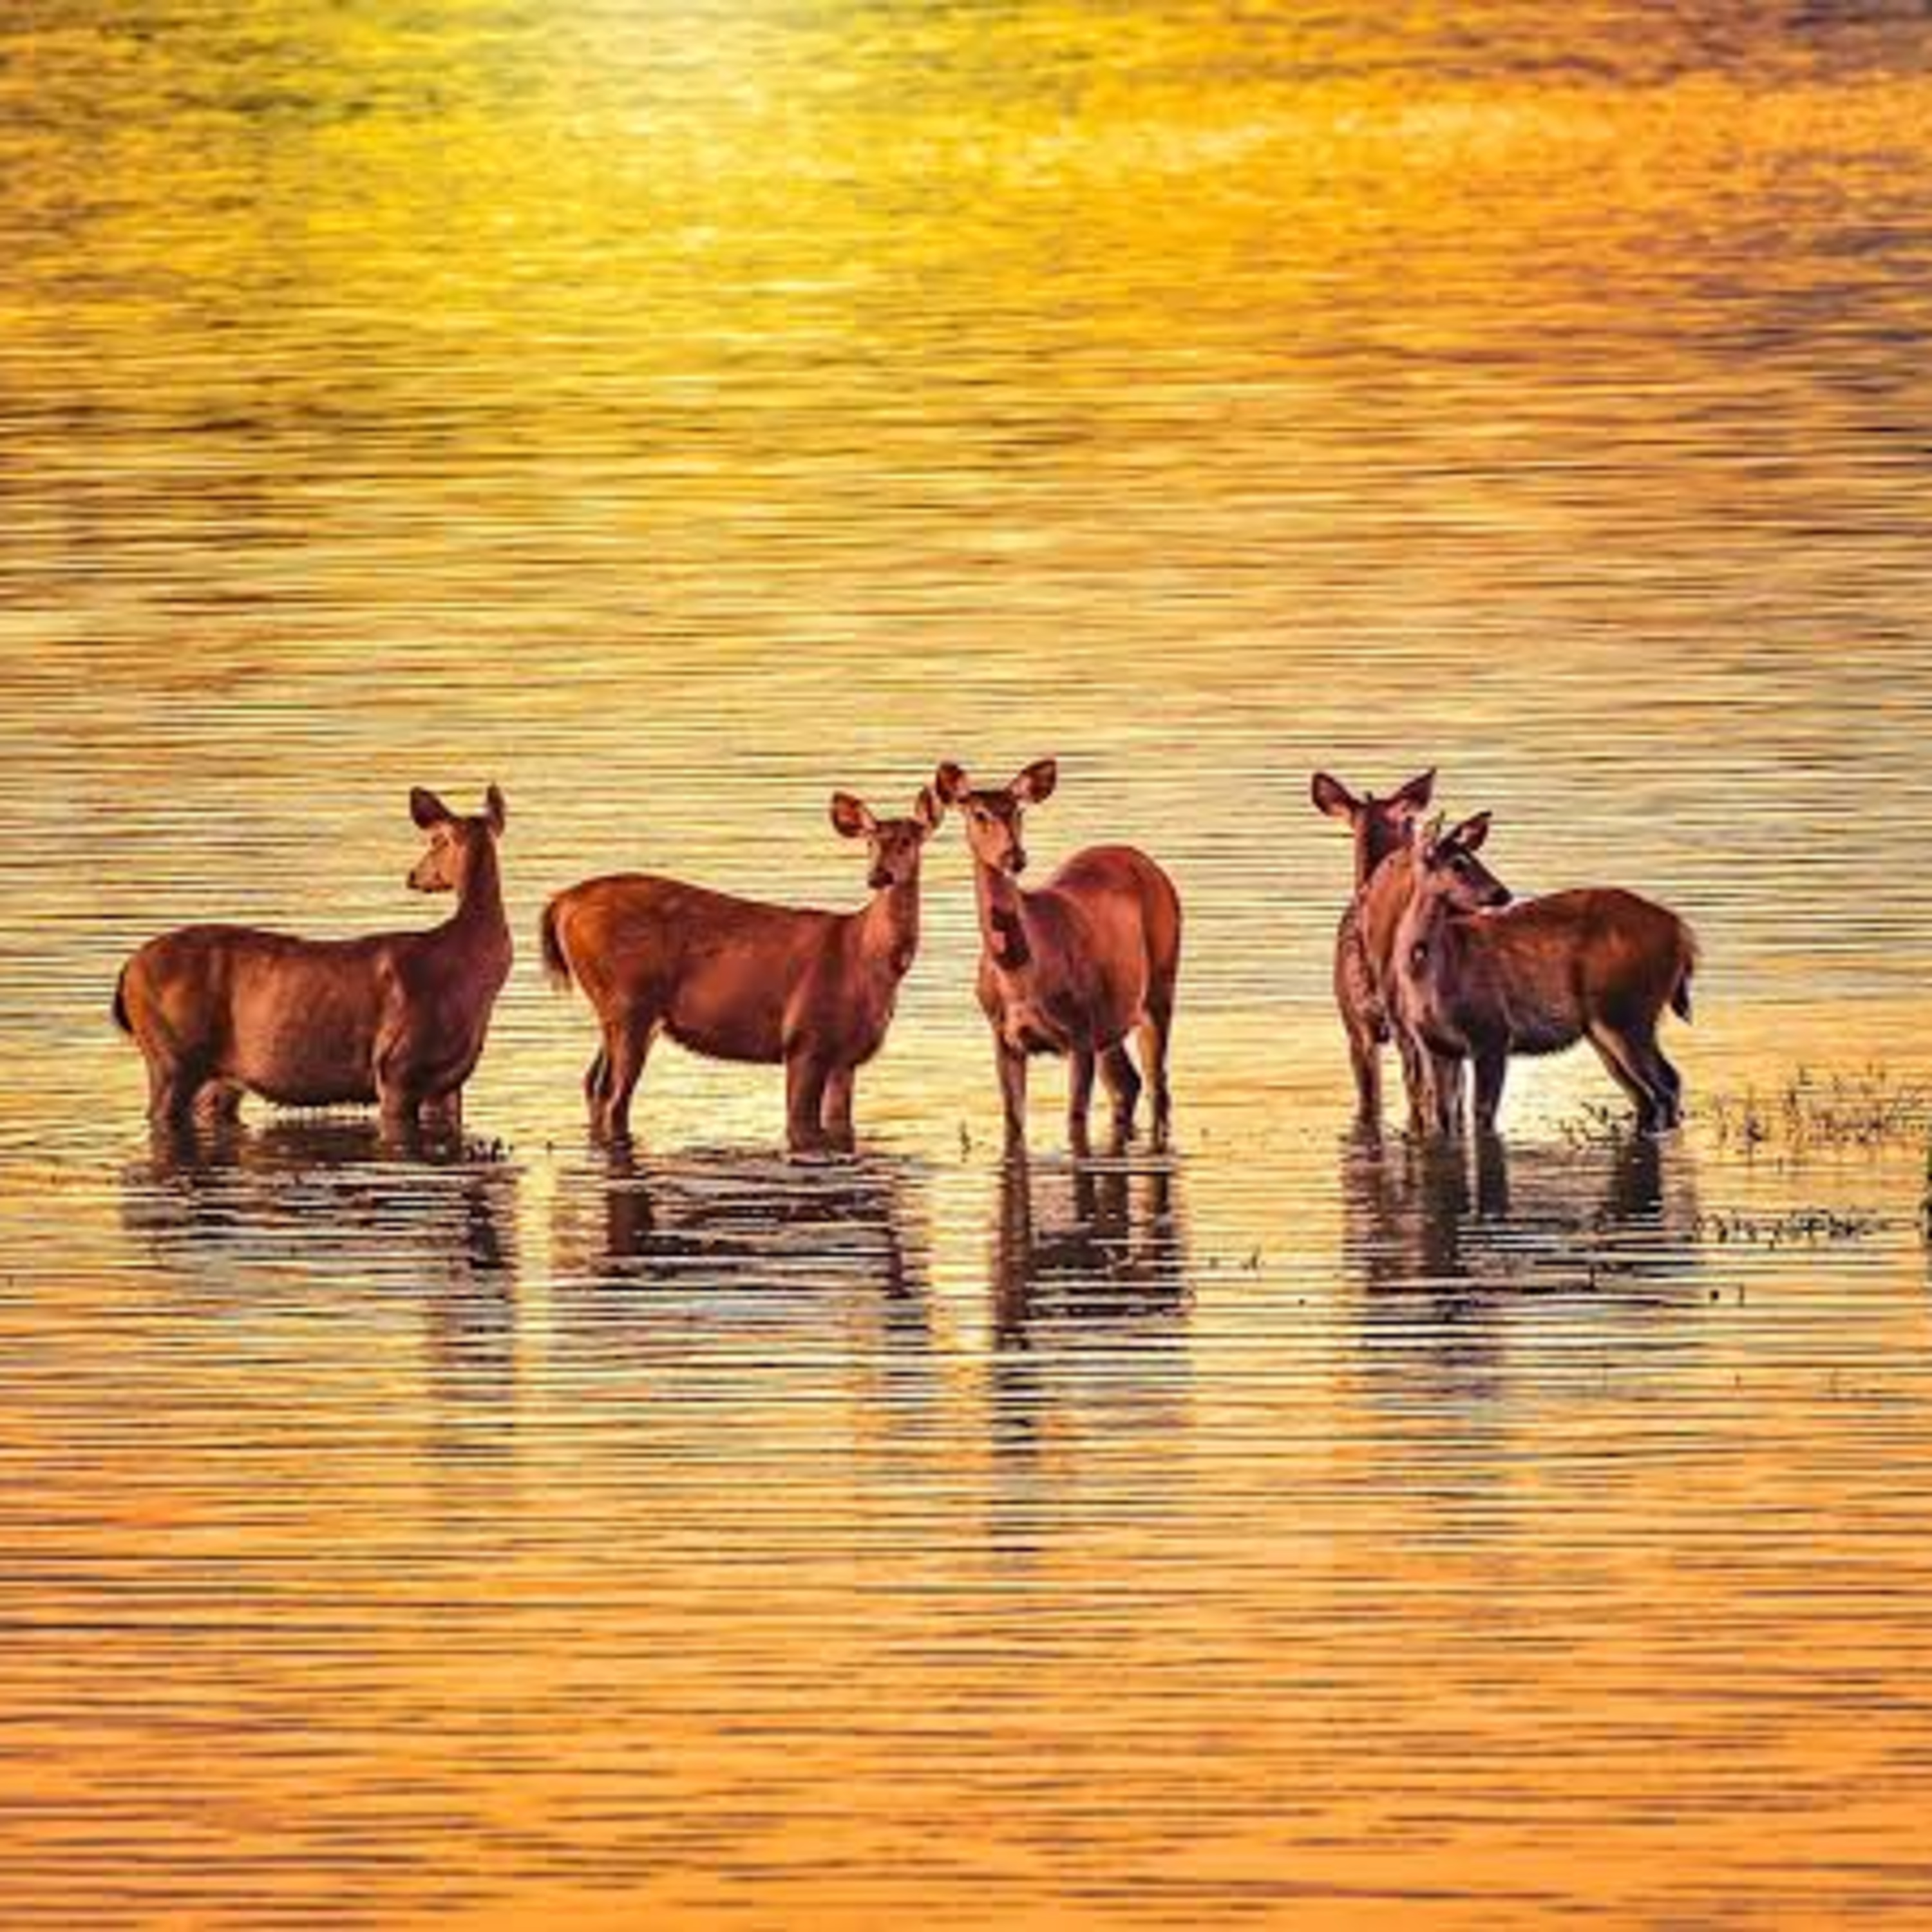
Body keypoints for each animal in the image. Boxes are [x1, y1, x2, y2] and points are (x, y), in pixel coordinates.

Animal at [114, 781, 514, 1128]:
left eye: (435, 840)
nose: (413, 875)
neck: (467, 971)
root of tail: (126, 971)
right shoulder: (396, 1067)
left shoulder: (448, 1083)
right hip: (169, 1058)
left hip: (216, 1078)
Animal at [537, 781, 943, 1144]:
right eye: (870, 841)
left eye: (908, 841)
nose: (878, 876)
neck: (867, 959)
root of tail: (561, 903)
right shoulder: (805, 1040)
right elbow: (799, 1127)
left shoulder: (847, 1056)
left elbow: (839, 1128)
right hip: (628, 1003)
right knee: (613, 1097)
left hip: (621, 1012)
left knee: (592, 1083)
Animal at [931, 753, 1182, 1144]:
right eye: (978, 814)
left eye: (1019, 810)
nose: (1014, 857)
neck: (1020, 977)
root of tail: (1153, 868)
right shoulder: (1003, 1036)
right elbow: (1013, 1121)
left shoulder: (1080, 1032)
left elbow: (1074, 1121)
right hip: (1112, 1017)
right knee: (1128, 1084)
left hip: (1159, 984)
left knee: (1159, 1087)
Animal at [1399, 811, 1700, 1136]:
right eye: (1457, 863)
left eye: (1472, 858)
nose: (1502, 893)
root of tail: (1682, 934)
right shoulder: (1435, 1045)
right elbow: (1444, 1118)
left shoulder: (1492, 1031)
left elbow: (1483, 1115)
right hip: (1605, 1028)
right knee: (1646, 1095)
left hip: (1626, 1012)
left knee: (1668, 1083)